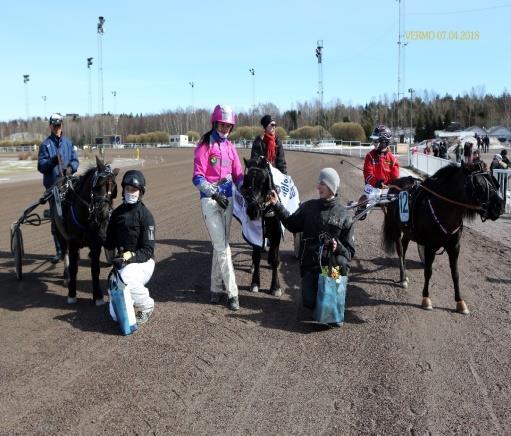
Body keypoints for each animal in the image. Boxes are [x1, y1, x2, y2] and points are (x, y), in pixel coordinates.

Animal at [52, 156, 119, 304]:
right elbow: (73, 268)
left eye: (113, 188)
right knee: (65, 254)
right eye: (98, 185)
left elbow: (95, 269)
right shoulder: (73, 243)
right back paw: (66, 277)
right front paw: (71, 294)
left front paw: (98, 296)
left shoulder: (96, 243)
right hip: (61, 234)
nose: (104, 213)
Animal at [241, 156, 284, 296]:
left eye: (264, 181)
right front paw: (255, 282)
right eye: (247, 179)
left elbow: (275, 259)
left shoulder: (276, 233)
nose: (252, 211)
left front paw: (275, 287)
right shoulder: (255, 233)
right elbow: (256, 257)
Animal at [382, 162, 506, 316]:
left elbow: (455, 274)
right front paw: (426, 298)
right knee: (400, 251)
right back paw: (402, 277)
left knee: (404, 247)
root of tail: (395, 184)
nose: (500, 205)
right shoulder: (430, 246)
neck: (444, 210)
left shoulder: (454, 247)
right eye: (477, 184)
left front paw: (460, 302)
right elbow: (428, 271)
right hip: (396, 228)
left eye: (493, 181)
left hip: (408, 231)